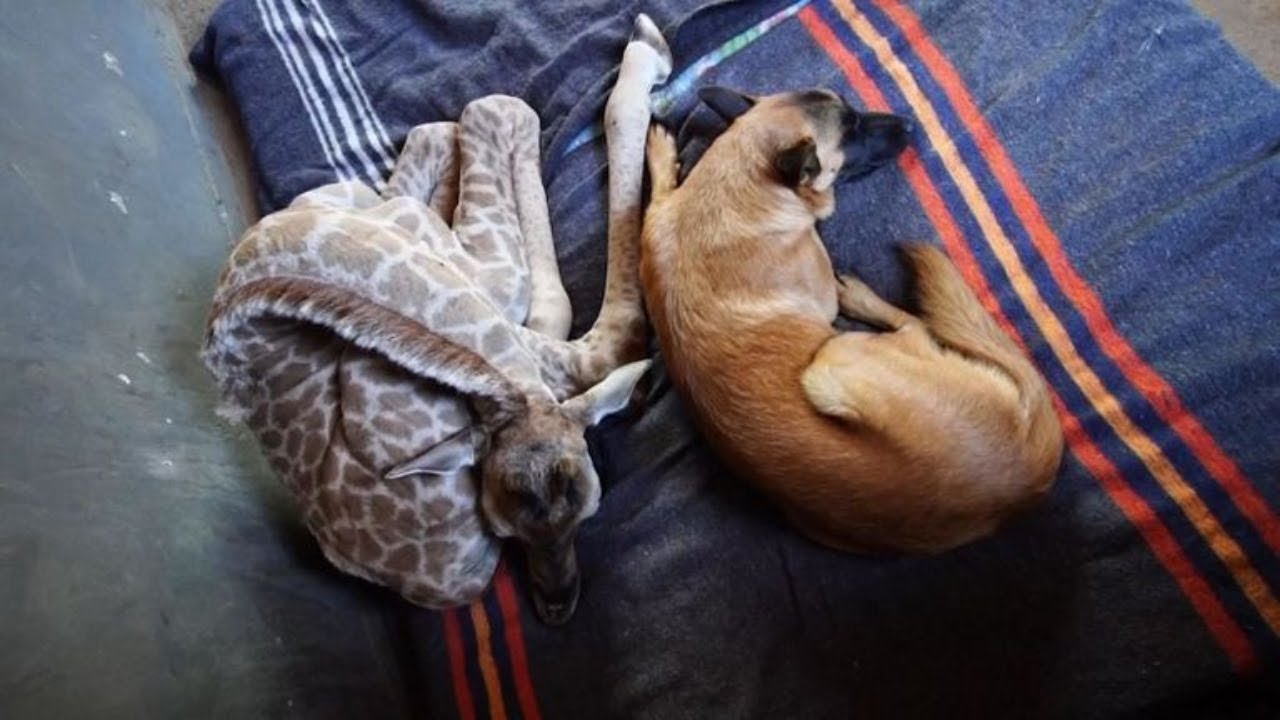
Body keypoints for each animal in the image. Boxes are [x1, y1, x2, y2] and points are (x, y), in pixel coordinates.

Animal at [203, 15, 672, 624]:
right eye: (504, 531)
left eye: (591, 509)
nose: (556, 608)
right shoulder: (493, 276)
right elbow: (501, 109)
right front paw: (648, 54)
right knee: (478, 120)